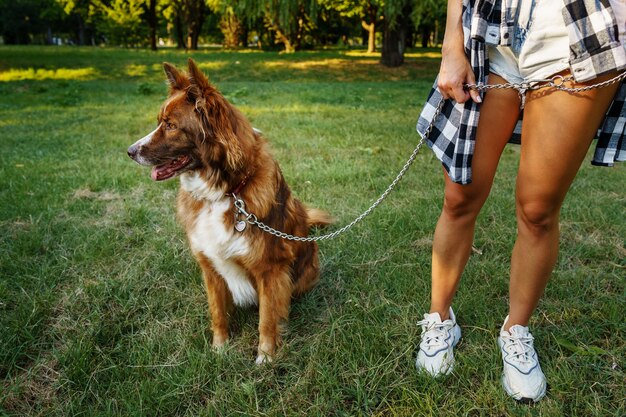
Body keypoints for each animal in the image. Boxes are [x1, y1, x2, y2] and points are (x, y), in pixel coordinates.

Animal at [127, 58, 332, 360]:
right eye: (159, 122)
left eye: (171, 125)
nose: (130, 151)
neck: (224, 193)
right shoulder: (209, 266)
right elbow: (217, 313)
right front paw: (219, 349)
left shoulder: (270, 270)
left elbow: (267, 319)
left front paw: (265, 357)